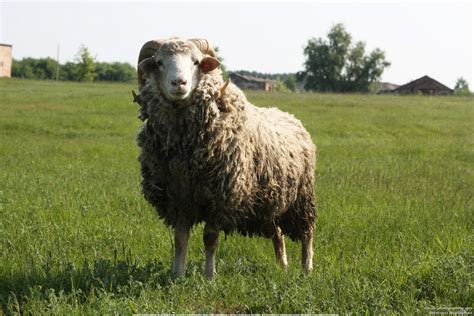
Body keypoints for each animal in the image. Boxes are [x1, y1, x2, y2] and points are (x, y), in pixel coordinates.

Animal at [135, 37, 316, 278]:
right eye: (159, 63)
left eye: (196, 62)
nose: (179, 83)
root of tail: (292, 118)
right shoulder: (179, 198)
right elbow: (180, 239)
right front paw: (177, 274)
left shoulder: (219, 197)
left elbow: (210, 238)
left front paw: (209, 276)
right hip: (269, 202)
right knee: (278, 234)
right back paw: (282, 266)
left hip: (302, 197)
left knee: (307, 234)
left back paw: (306, 269)